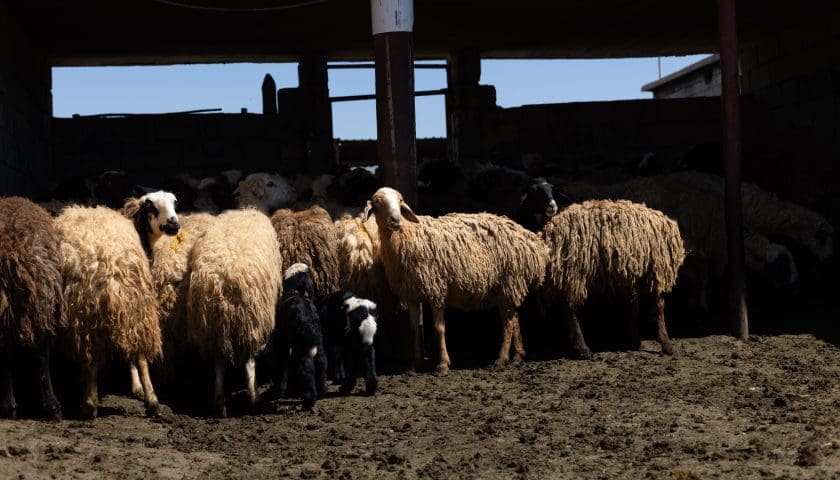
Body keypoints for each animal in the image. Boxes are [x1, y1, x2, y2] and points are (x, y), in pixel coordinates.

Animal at [55, 205, 166, 418]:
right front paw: (137, 388)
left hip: (87, 315)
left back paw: (89, 404)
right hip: (137, 311)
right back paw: (152, 401)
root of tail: (110, 264)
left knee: (90, 358)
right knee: (140, 355)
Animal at [186, 208, 282, 417]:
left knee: (219, 363)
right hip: (249, 321)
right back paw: (254, 399)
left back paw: (219, 404)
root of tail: (223, 282)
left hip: (213, 329)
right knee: (249, 361)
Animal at [274, 263, 327, 410]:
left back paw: (309, 401)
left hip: (301, 345)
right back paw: (322, 392)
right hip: (318, 342)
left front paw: (280, 389)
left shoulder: (282, 338)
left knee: (306, 368)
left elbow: (282, 360)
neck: (296, 292)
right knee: (321, 361)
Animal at [364, 187, 548, 373]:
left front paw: (443, 364)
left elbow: (439, 328)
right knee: (514, 317)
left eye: (400, 200)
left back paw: (501, 359)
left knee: (508, 322)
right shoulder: (412, 296)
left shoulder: (436, 291)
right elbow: (414, 329)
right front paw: (416, 364)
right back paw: (517, 356)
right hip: (510, 287)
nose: (396, 220)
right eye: (377, 203)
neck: (405, 238)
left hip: (509, 282)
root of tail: (533, 242)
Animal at [539, 199, 686, 359]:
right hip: (575, 272)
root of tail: (550, 232)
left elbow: (634, 305)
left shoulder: (633, 273)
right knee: (570, 309)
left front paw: (635, 340)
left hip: (569, 274)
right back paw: (583, 349)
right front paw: (665, 343)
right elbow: (658, 307)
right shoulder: (656, 270)